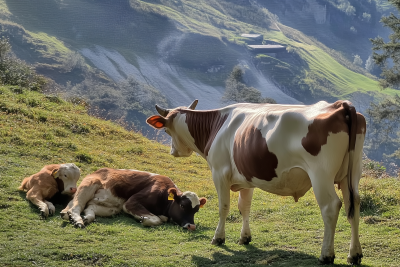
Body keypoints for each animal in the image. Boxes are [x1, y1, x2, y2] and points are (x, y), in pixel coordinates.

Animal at [61, 170, 209, 230]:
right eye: (183, 206)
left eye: (196, 211)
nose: (192, 226)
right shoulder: (131, 202)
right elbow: (156, 220)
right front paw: (145, 220)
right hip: (88, 185)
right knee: (76, 206)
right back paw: (78, 220)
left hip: (111, 207)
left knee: (88, 207)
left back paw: (84, 217)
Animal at [146, 100, 366, 266]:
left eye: (166, 131)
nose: (173, 151)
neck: (217, 124)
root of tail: (339, 105)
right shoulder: (247, 179)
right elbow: (244, 207)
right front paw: (245, 237)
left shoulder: (219, 172)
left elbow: (223, 207)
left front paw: (218, 238)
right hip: (352, 173)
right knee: (353, 204)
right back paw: (354, 254)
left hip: (321, 175)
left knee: (331, 207)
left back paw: (326, 255)